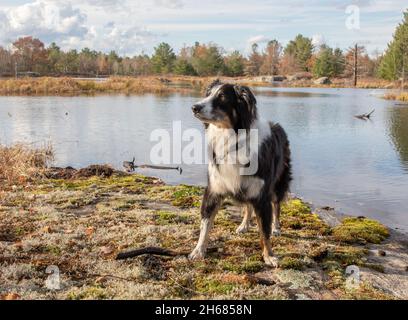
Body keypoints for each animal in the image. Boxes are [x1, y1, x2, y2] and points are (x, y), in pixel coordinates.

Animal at [190, 80, 292, 268]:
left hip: (278, 183)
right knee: (248, 205)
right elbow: (205, 223)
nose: (194, 107)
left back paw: (277, 227)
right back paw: (244, 225)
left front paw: (269, 256)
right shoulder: (214, 189)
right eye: (208, 94)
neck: (232, 140)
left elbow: (264, 230)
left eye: (222, 97)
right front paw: (199, 250)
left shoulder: (262, 195)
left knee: (277, 205)